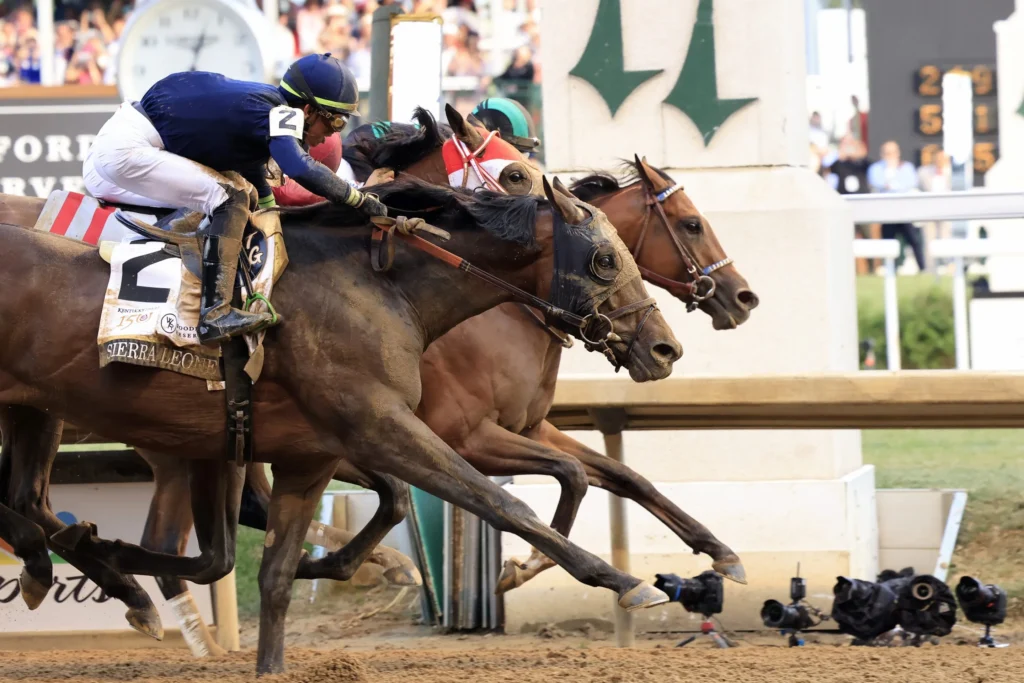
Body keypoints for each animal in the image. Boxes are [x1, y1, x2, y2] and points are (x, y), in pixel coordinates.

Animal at [0, 176, 680, 674]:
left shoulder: (308, 455)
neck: (380, 288)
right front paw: (625, 581)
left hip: (41, 412)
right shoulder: (387, 426)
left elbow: (274, 573)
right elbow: (502, 503)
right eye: (603, 260)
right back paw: (71, 565)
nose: (665, 347)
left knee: (31, 499)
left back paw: (89, 566)